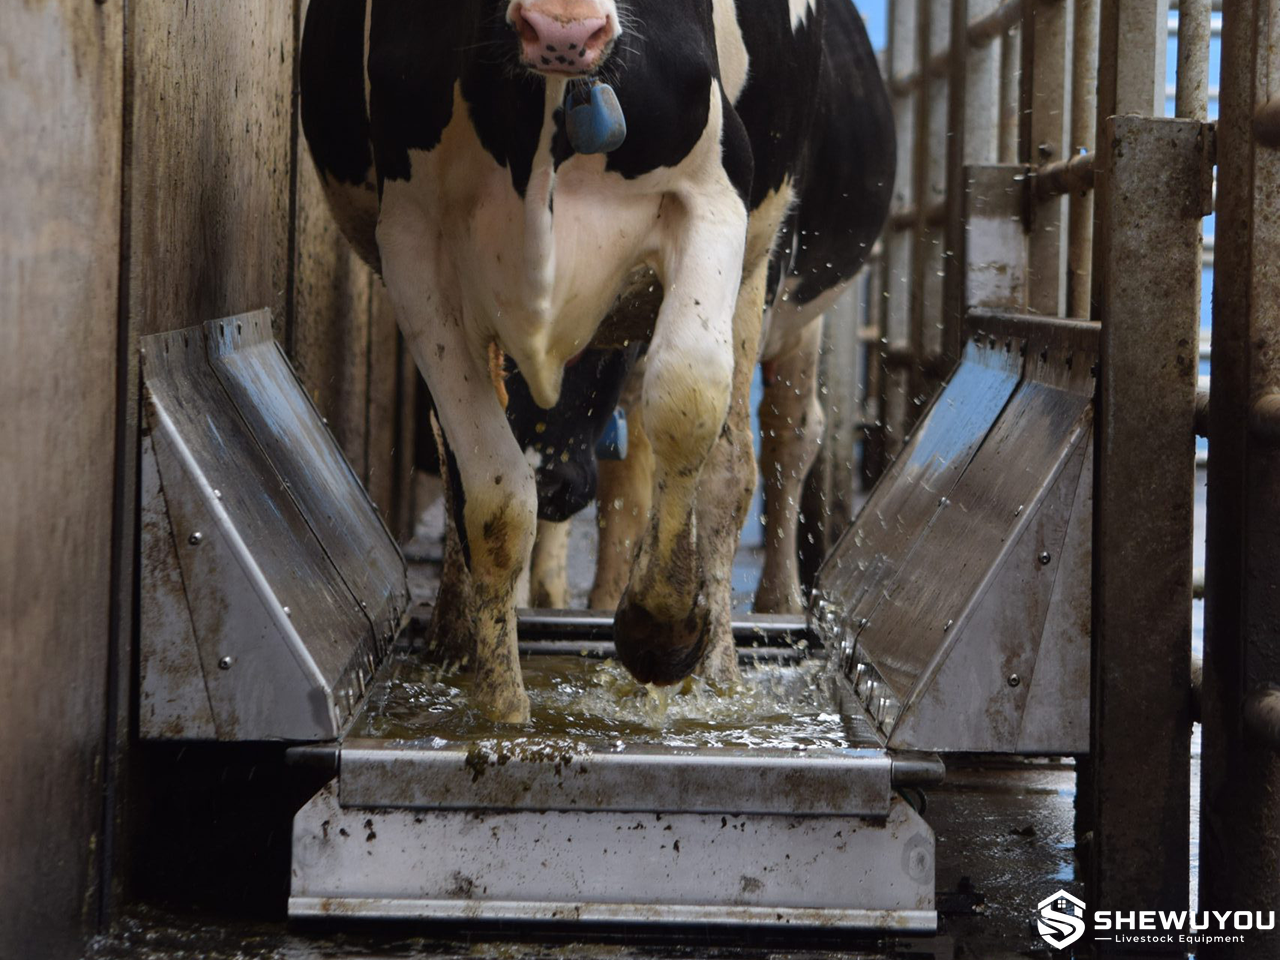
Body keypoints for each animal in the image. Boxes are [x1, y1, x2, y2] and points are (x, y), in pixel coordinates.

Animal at [301, 0, 895, 722]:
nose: (564, 30)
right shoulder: (412, 245)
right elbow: (490, 492)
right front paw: (501, 710)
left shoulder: (718, 195)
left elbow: (692, 404)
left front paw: (665, 629)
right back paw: (458, 631)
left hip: (782, 286)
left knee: (780, 439)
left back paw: (758, 620)